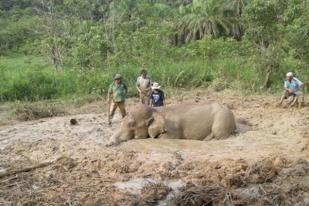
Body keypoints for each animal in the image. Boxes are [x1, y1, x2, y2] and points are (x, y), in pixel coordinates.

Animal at [107, 102, 235, 146]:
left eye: (131, 125)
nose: (108, 144)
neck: (155, 110)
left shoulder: (172, 129)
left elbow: (166, 138)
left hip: (222, 119)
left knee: (219, 135)